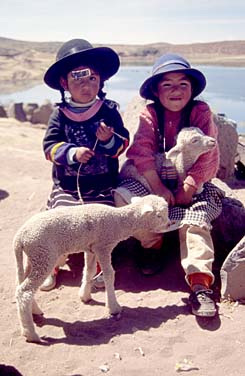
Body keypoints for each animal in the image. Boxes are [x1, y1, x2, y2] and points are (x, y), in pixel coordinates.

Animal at [13, 195, 168, 342]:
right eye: (159, 215)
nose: (169, 224)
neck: (119, 222)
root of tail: (19, 238)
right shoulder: (103, 246)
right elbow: (109, 274)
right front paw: (113, 308)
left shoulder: (91, 248)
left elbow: (89, 271)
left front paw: (85, 296)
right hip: (43, 256)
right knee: (24, 291)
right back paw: (30, 334)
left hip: (33, 258)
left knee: (22, 286)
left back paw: (34, 311)